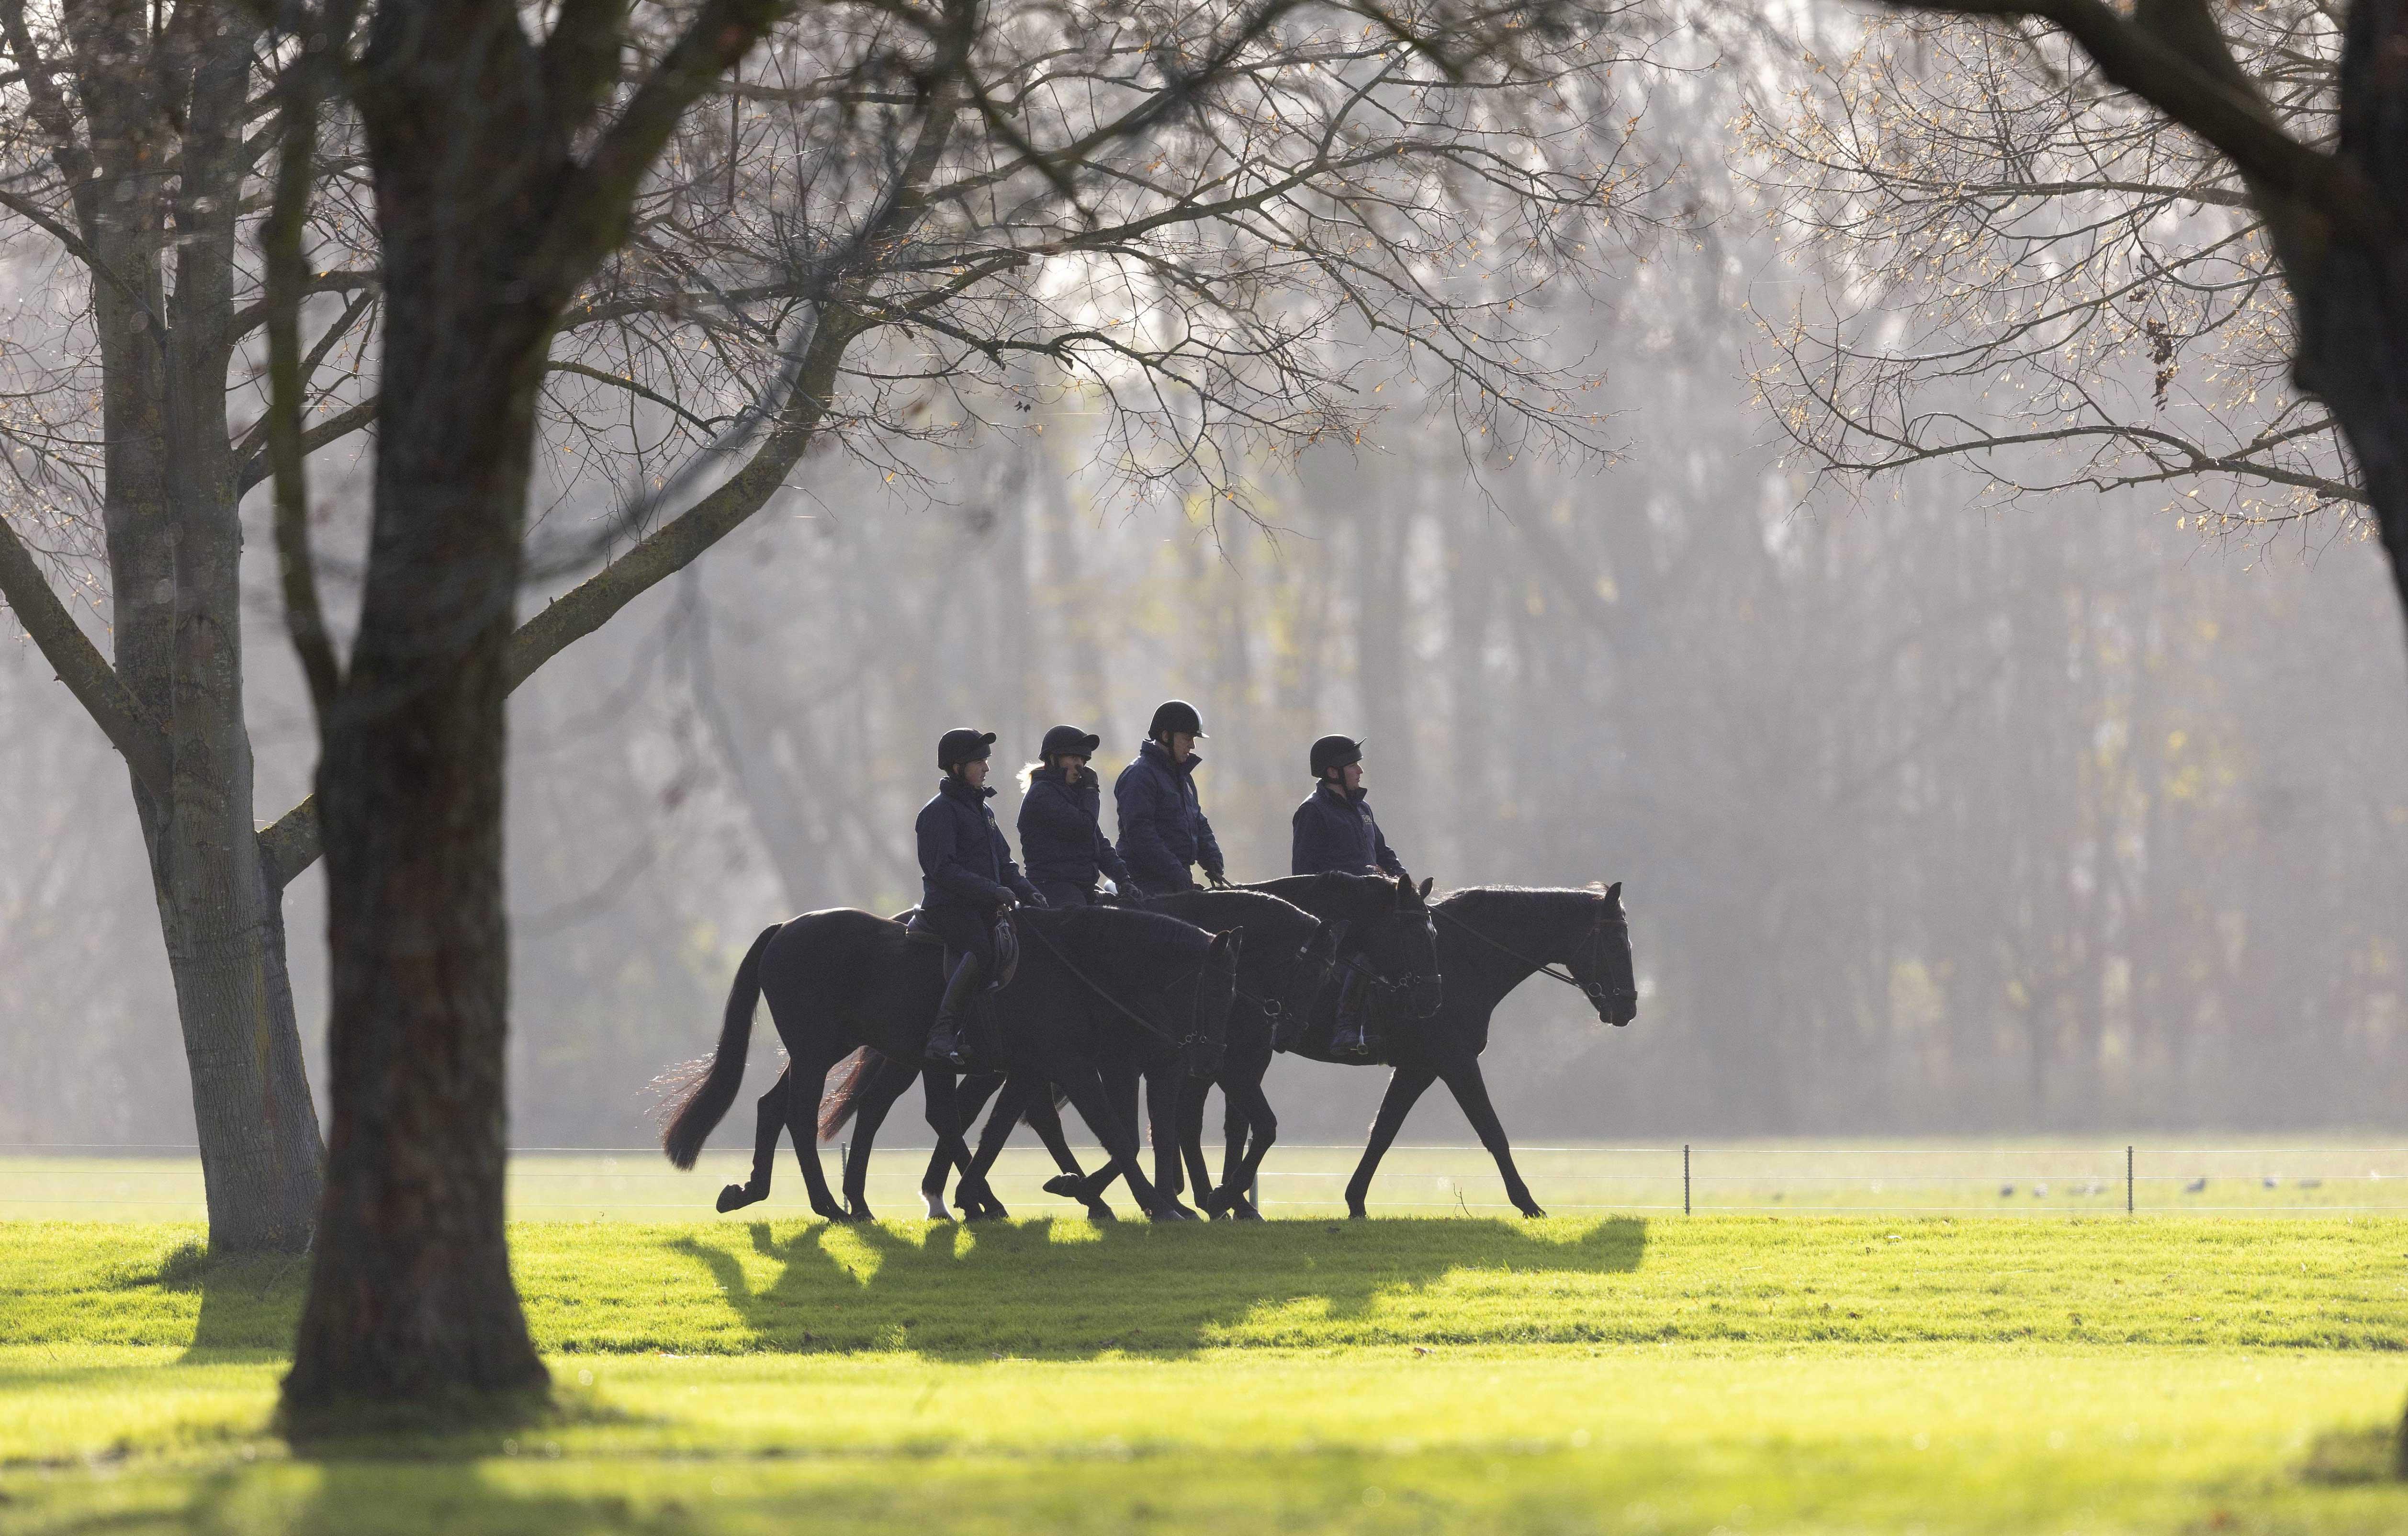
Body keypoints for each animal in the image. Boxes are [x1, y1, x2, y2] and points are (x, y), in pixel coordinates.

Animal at [660, 905, 1242, 1228]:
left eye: (1232, 990)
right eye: (1212, 989)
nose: (1210, 1059)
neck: (1076, 968)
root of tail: (785, 928)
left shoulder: (1032, 1069)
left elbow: (997, 1130)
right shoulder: (1072, 1066)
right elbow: (1118, 1136)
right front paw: (1153, 1204)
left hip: (830, 1049)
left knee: (778, 1105)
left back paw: (768, 1192)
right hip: (820, 1050)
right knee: (802, 1115)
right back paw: (831, 1205)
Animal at [1281, 886, 1637, 1223]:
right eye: (1618, 942)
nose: (1628, 1008)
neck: (1461, 960)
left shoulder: (1418, 1069)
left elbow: (1383, 1132)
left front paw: (1356, 1203)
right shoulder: (1457, 1062)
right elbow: (1492, 1131)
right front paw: (1528, 1205)